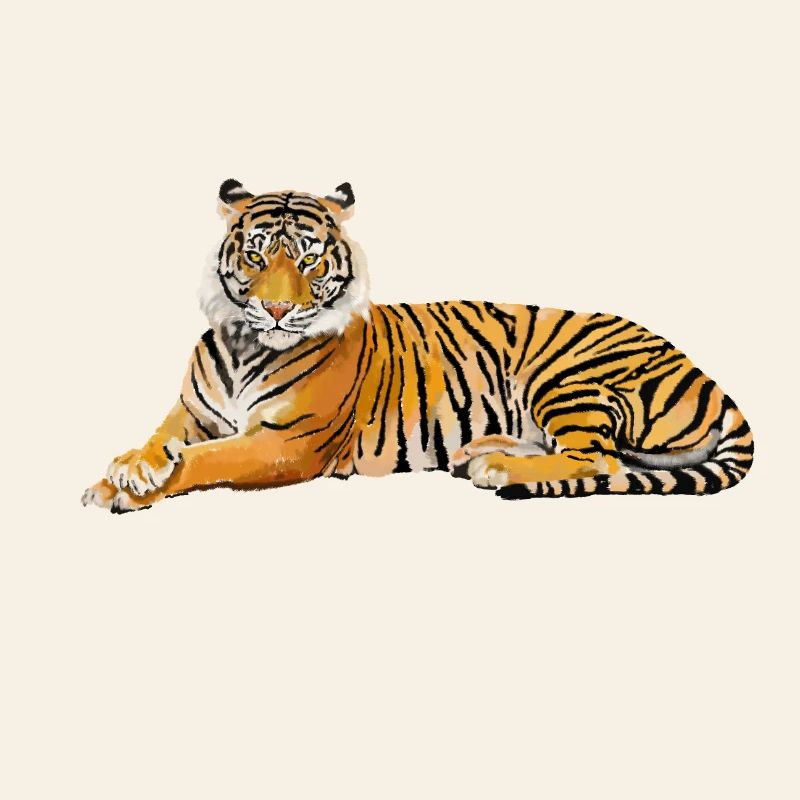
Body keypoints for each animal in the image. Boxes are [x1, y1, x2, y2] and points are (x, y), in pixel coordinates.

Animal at [82, 179, 754, 513]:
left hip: (567, 376)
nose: (276, 309)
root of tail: (704, 372)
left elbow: (205, 460)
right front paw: (125, 470)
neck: (246, 343)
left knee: (600, 461)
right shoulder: (191, 412)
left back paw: (496, 467)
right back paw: (483, 451)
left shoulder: (286, 444)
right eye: (255, 255)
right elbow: (161, 440)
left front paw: (130, 489)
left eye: (308, 258)